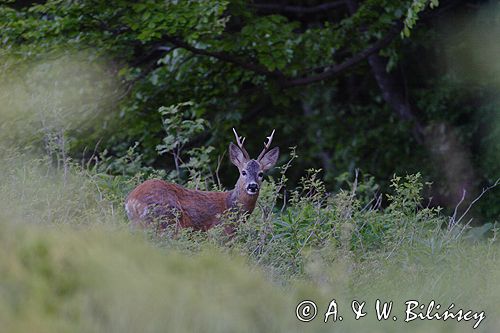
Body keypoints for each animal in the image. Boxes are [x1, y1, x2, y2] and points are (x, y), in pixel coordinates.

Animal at [124, 127, 280, 233]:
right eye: (243, 172)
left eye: (261, 174)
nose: (252, 186)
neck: (231, 206)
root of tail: (132, 200)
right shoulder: (220, 232)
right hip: (165, 221)